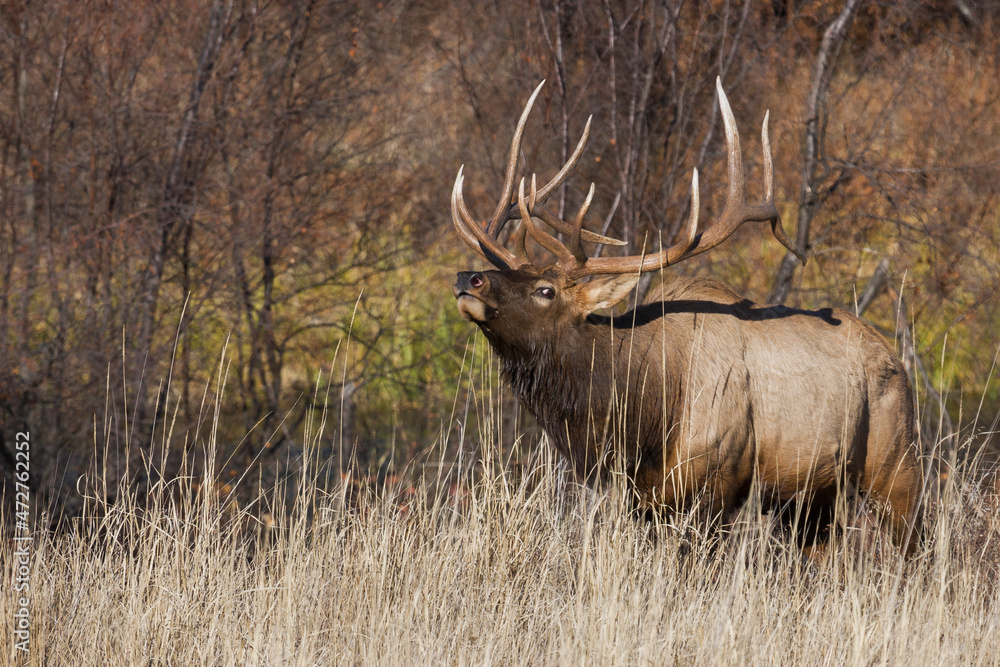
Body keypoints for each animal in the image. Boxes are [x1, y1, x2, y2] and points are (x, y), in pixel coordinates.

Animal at [450, 79, 922, 555]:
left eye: (545, 291)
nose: (468, 277)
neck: (642, 419)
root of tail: (897, 361)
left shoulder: (717, 479)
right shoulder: (643, 497)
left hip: (895, 460)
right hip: (812, 495)